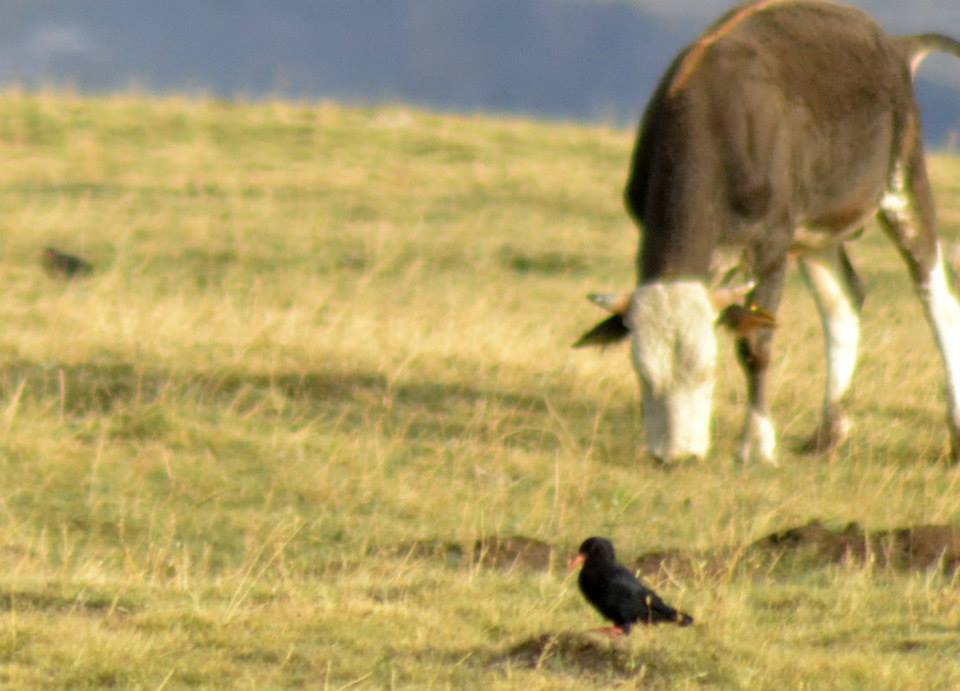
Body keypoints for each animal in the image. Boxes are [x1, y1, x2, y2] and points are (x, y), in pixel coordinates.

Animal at [572, 1, 960, 464]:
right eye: (643, 374)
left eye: (708, 371)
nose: (676, 456)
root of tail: (896, 45)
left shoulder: (772, 241)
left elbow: (756, 343)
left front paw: (756, 443)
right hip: (816, 229)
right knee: (844, 299)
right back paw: (828, 435)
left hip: (903, 177)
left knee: (937, 297)